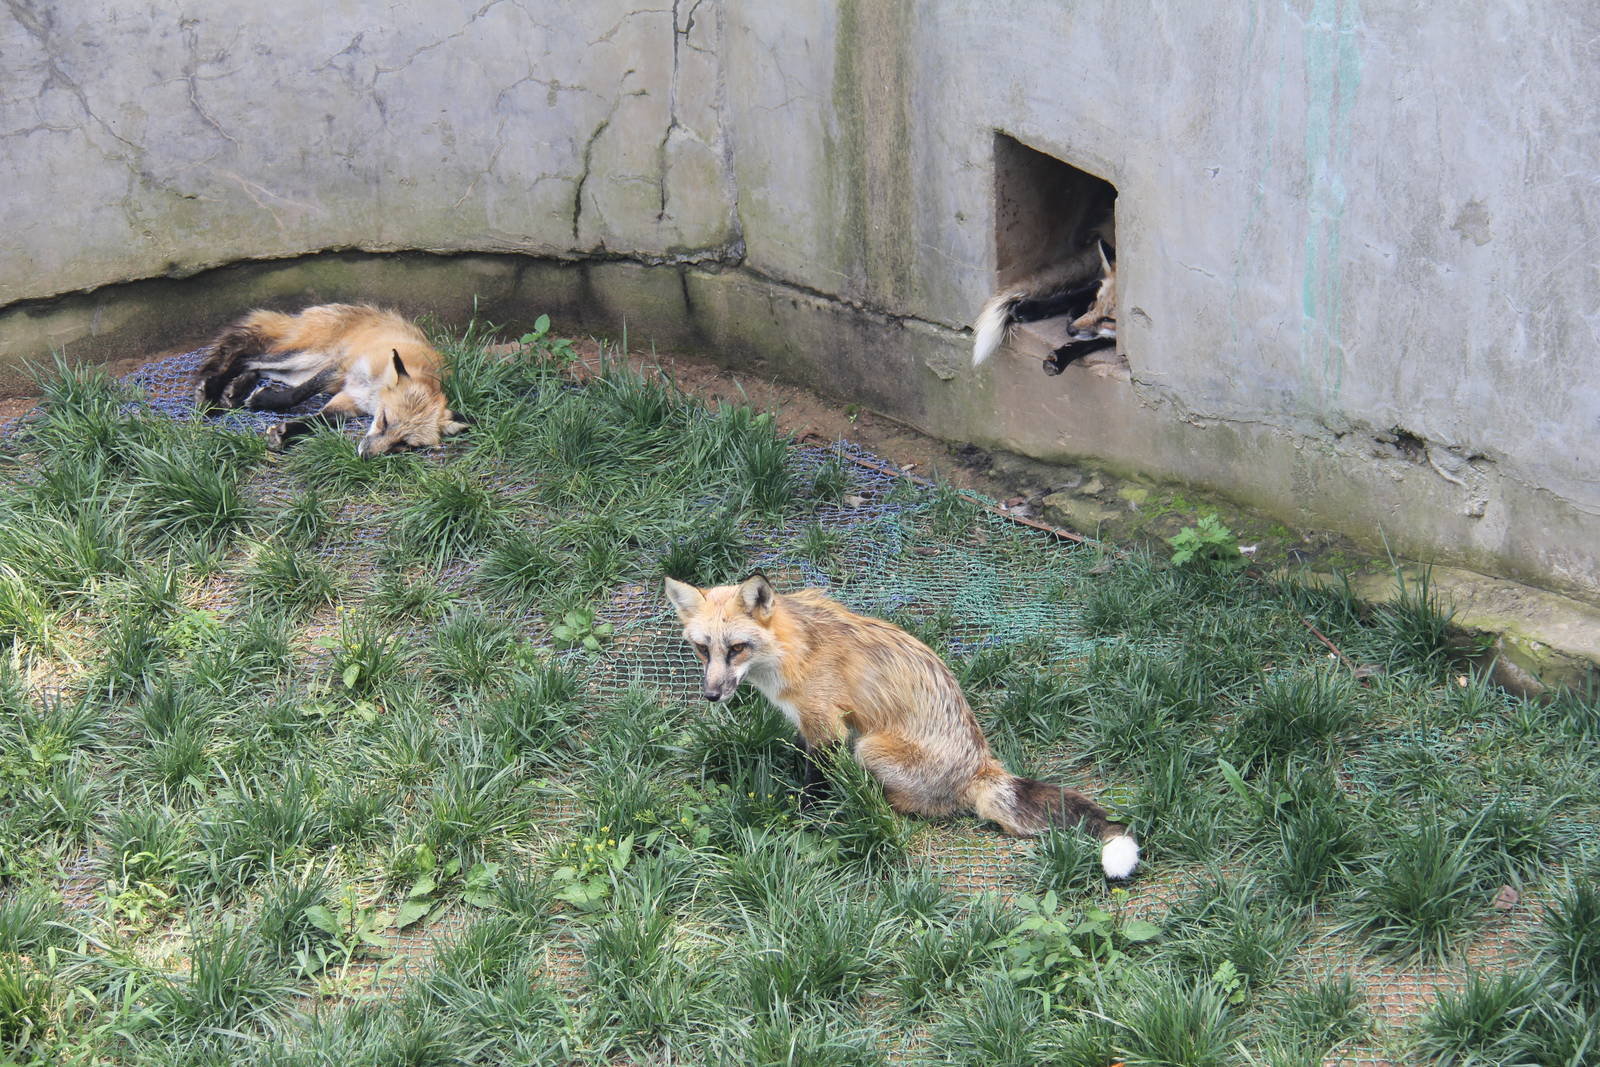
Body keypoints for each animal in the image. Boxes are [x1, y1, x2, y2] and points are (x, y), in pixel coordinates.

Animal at [193, 303, 468, 457]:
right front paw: (267, 403)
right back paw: (212, 391)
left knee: (256, 367)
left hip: (297, 370)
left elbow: (318, 421)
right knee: (245, 357)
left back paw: (234, 391)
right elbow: (297, 396)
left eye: (405, 444)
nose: (366, 456)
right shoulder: (341, 368)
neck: (373, 394)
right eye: (385, 421)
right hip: (310, 356)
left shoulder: (348, 402)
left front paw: (284, 432)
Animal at [664, 573, 1140, 879]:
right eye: (703, 649)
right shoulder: (808, 723)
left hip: (868, 747)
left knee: (927, 806)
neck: (791, 650)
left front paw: (803, 819)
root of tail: (983, 767)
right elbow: (803, 759)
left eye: (737, 648)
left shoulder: (829, 726)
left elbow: (814, 784)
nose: (711, 695)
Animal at [972, 237, 1117, 368]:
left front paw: (1062, 356)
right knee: (1079, 292)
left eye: (1109, 319)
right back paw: (1030, 309)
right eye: (1097, 304)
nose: (1069, 330)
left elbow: (1096, 341)